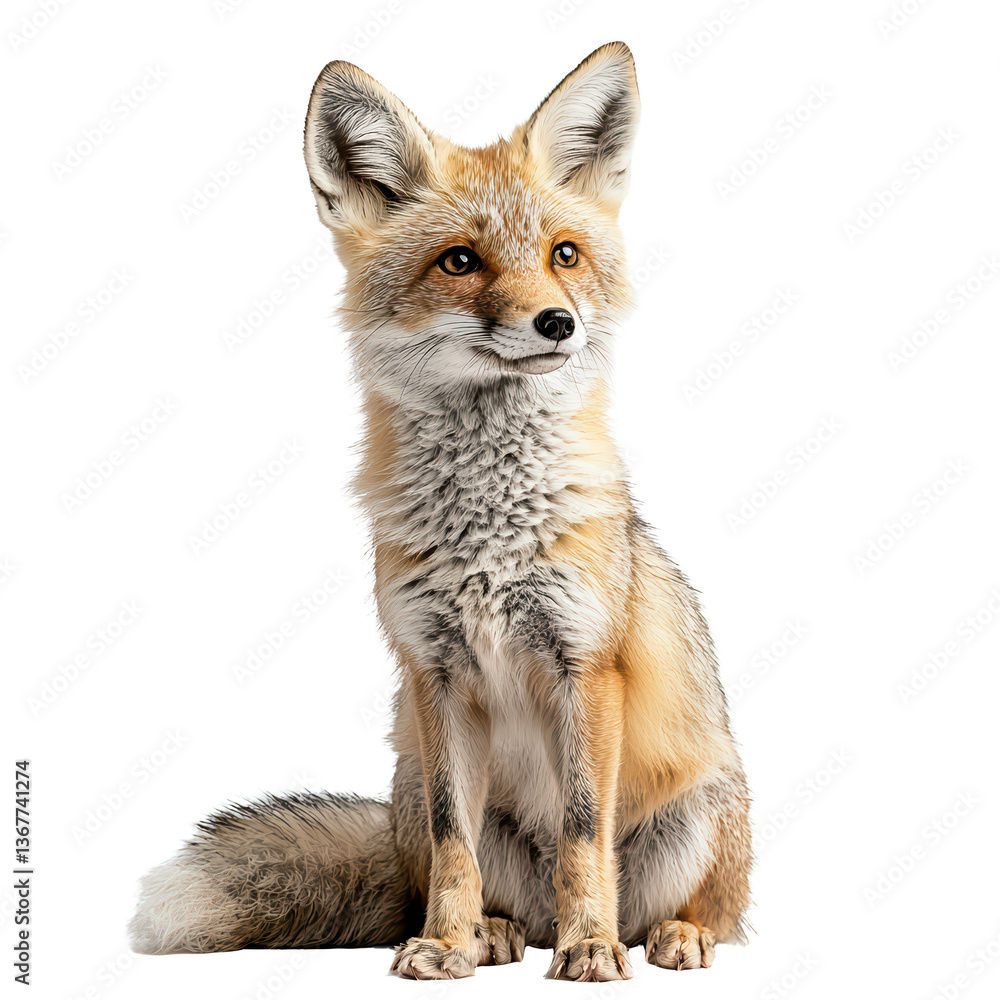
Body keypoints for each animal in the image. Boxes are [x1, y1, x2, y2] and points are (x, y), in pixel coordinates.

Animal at [128, 41, 752, 981]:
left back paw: (667, 933)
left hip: (705, 804)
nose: (558, 323)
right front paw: (447, 943)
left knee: (698, 907)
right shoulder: (435, 671)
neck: (489, 534)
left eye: (565, 254)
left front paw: (592, 947)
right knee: (476, 880)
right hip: (411, 783)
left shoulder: (584, 662)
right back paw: (495, 933)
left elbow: (584, 833)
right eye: (460, 262)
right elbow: (455, 840)